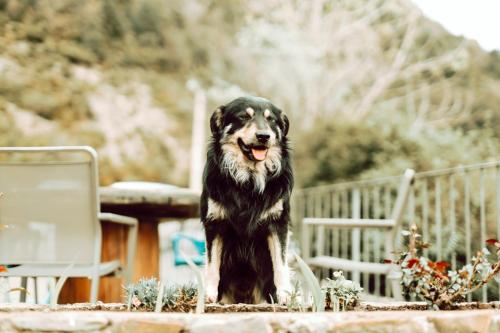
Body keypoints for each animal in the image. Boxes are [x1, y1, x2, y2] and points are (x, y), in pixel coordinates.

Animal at [200, 96, 292, 304]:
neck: (249, 177)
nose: (264, 136)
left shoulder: (278, 223)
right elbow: (212, 263)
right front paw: (210, 294)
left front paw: (284, 294)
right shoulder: (214, 223)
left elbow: (280, 263)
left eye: (271, 119)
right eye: (244, 117)